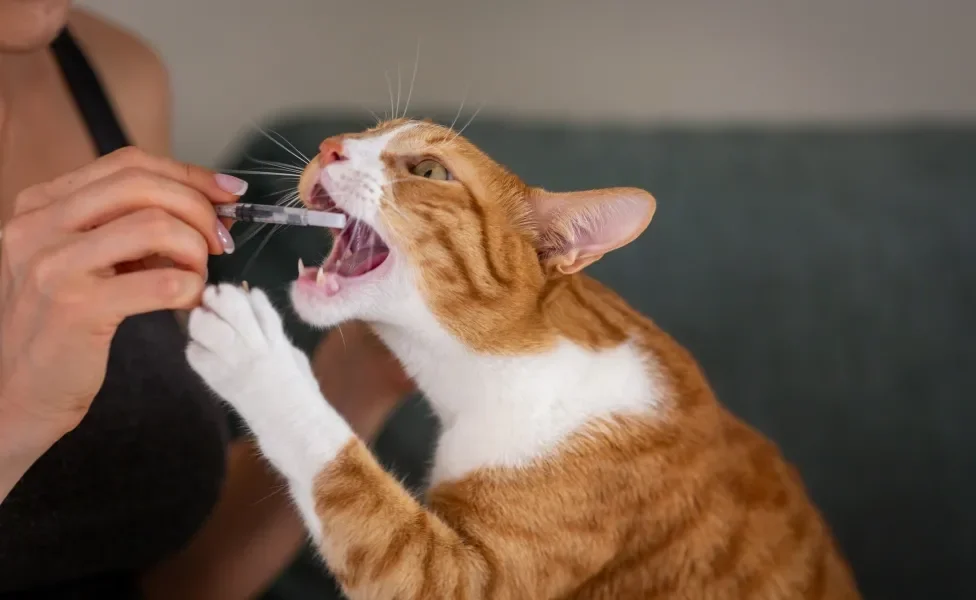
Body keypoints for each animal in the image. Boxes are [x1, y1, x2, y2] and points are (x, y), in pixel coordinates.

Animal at [185, 118, 860, 600]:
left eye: (428, 169)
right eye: (369, 130)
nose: (329, 147)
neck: (494, 372)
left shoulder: (466, 580)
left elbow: (344, 474)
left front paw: (255, 355)